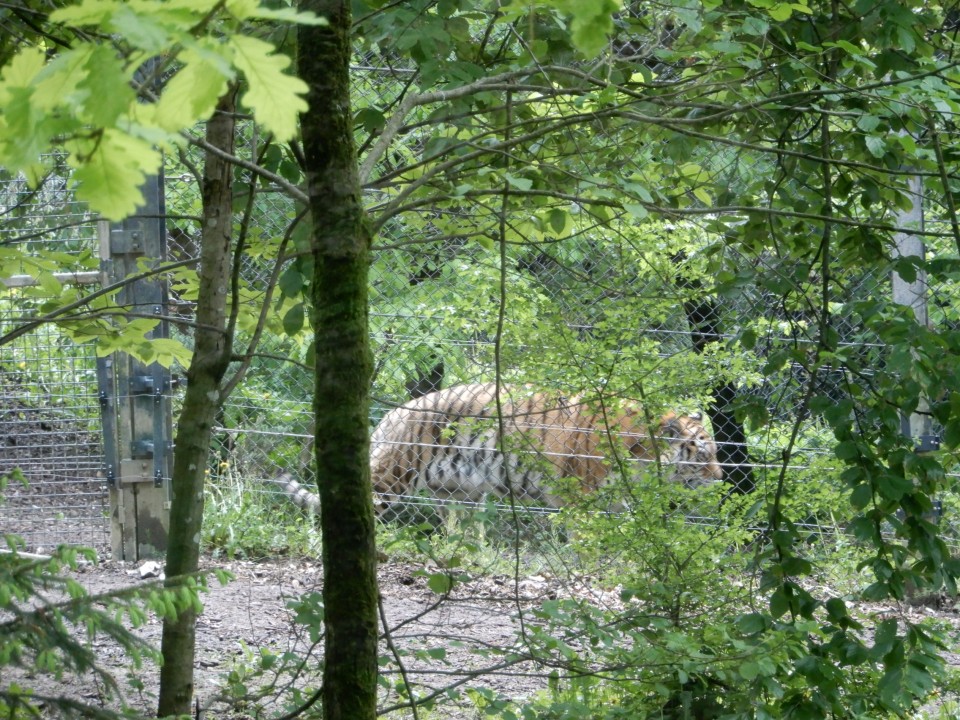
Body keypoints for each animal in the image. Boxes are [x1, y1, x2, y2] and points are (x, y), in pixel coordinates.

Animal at [370, 382, 723, 516]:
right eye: (704, 455)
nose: (720, 477)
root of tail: (391, 414)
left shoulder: (614, 503)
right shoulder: (582, 498)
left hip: (458, 494)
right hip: (391, 477)